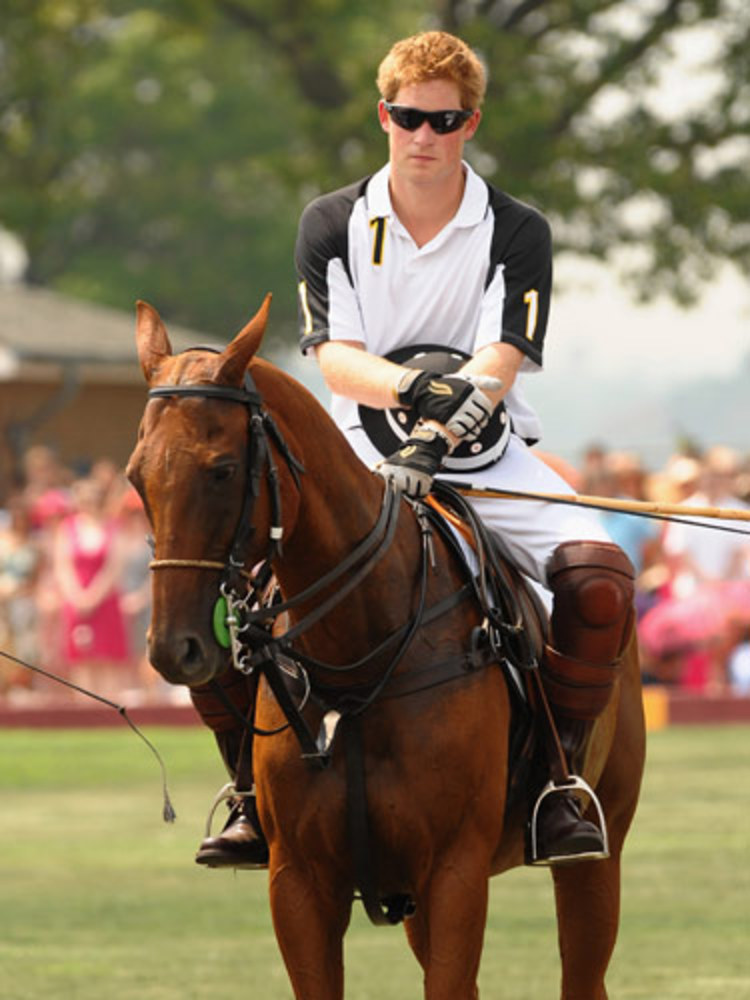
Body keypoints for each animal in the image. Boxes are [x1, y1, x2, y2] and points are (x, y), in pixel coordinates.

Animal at [128, 296, 648, 1000]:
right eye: (135, 477)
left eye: (223, 470)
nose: (173, 648)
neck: (359, 656)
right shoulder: (298, 881)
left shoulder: (454, 871)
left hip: (601, 843)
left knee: (593, 580)